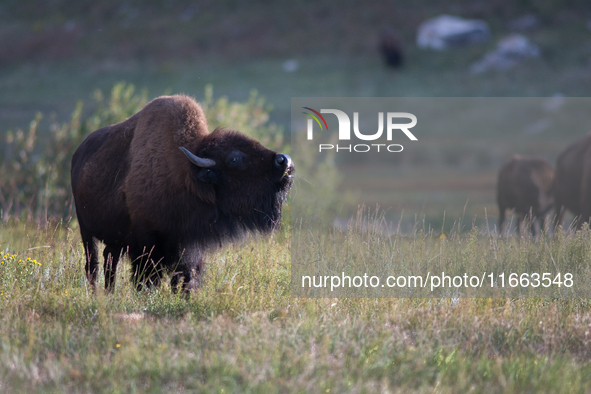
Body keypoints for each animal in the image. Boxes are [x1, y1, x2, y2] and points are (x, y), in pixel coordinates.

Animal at [71, 94, 294, 292]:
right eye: (234, 159)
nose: (285, 161)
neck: (186, 174)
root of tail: (78, 154)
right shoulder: (146, 244)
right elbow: (147, 278)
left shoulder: (190, 247)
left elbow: (187, 277)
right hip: (86, 231)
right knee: (93, 265)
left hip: (112, 238)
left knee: (110, 260)